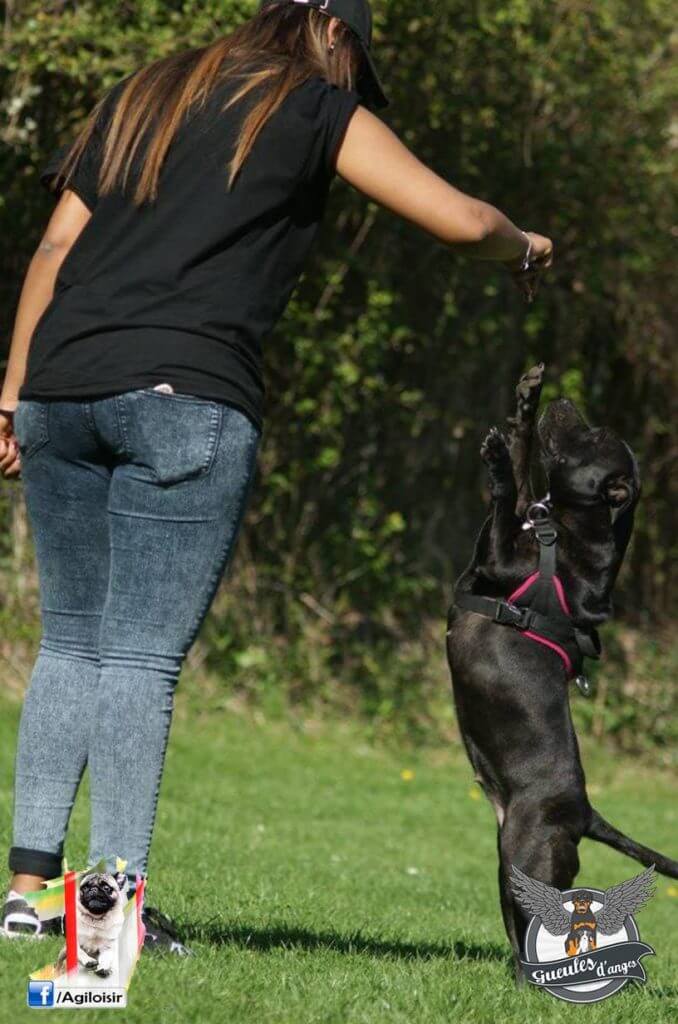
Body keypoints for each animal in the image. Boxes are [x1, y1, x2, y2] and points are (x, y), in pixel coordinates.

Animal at [446, 364, 678, 978]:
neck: (573, 527)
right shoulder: (508, 534)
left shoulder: (501, 558)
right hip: (513, 866)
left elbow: (508, 491)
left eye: (593, 437)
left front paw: (498, 457)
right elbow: (524, 465)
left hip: (529, 853)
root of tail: (585, 811)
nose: (565, 399)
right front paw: (525, 404)